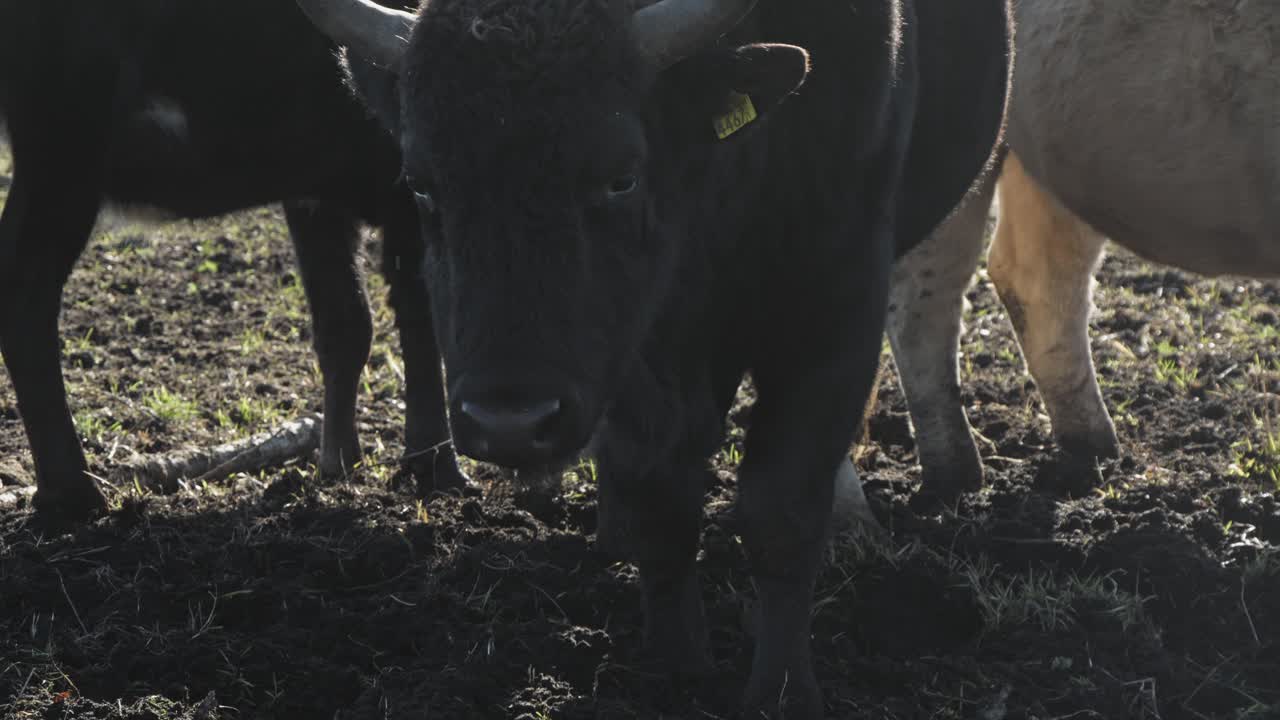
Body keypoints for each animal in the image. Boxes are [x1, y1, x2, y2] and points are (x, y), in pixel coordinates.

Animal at [0, 0, 468, 523]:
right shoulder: (410, 195)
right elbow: (424, 323)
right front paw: (437, 467)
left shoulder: (317, 192)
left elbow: (347, 324)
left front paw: (339, 461)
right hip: (62, 156)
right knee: (24, 294)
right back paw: (73, 493)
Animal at [297, 0, 1012, 715]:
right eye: (423, 185)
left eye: (622, 176)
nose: (510, 422)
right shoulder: (638, 359)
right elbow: (660, 492)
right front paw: (675, 664)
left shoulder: (834, 308)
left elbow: (781, 505)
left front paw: (782, 690)